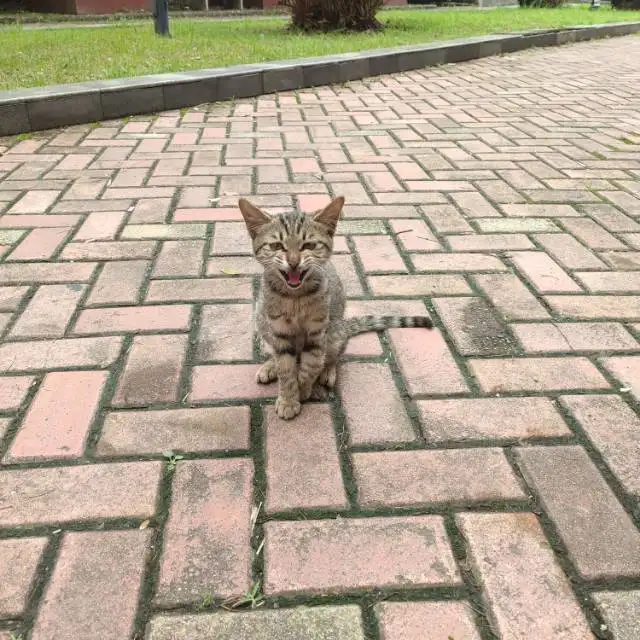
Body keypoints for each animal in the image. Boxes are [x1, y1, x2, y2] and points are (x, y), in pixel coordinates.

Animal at [240, 198, 436, 422]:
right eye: (276, 246)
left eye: (309, 245)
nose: (293, 262)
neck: (295, 297)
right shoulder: (280, 330)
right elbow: (286, 369)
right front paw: (288, 398)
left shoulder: (317, 332)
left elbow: (311, 365)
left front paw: (303, 389)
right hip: (261, 319)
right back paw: (270, 366)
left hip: (334, 331)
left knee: (334, 354)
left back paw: (327, 371)